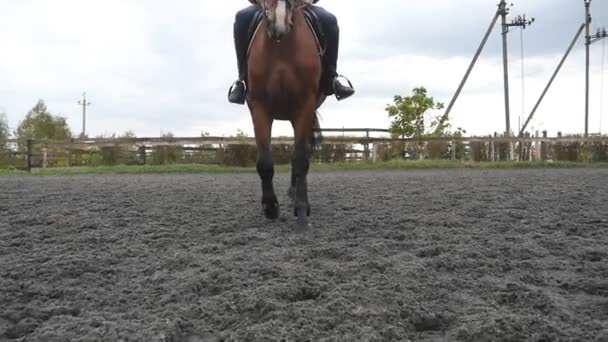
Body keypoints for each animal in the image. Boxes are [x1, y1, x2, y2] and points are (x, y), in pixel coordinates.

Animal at [246, 0, 326, 232]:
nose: (278, 22)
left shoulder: (304, 106)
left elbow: (300, 159)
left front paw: (301, 210)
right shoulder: (260, 107)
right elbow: (264, 162)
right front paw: (270, 207)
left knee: (303, 155)